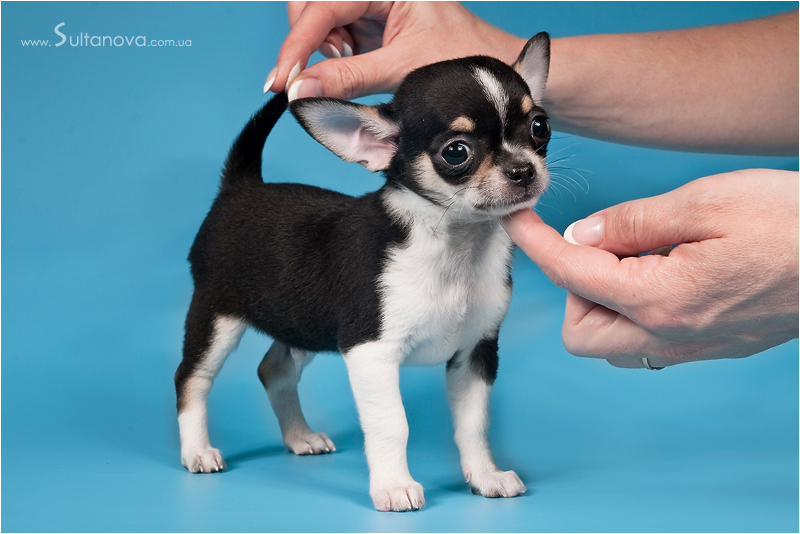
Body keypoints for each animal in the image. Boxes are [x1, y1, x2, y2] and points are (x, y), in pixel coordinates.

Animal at [175, 32, 551, 512]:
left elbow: (473, 425)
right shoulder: (370, 351)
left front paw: (485, 477)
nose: (523, 170)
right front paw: (393, 486)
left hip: (302, 323)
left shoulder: (474, 353)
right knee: (192, 378)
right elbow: (393, 424)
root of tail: (240, 187)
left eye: (540, 127)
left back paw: (299, 437)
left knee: (274, 370)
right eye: (456, 152)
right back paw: (197, 451)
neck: (452, 243)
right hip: (217, 317)